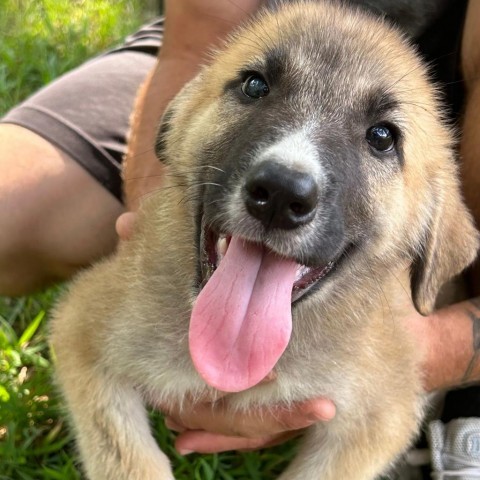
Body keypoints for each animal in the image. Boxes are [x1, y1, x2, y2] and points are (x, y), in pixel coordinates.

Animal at [50, 0, 478, 480]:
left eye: (383, 136)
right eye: (255, 85)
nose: (280, 194)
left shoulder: (382, 412)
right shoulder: (82, 326)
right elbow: (127, 460)